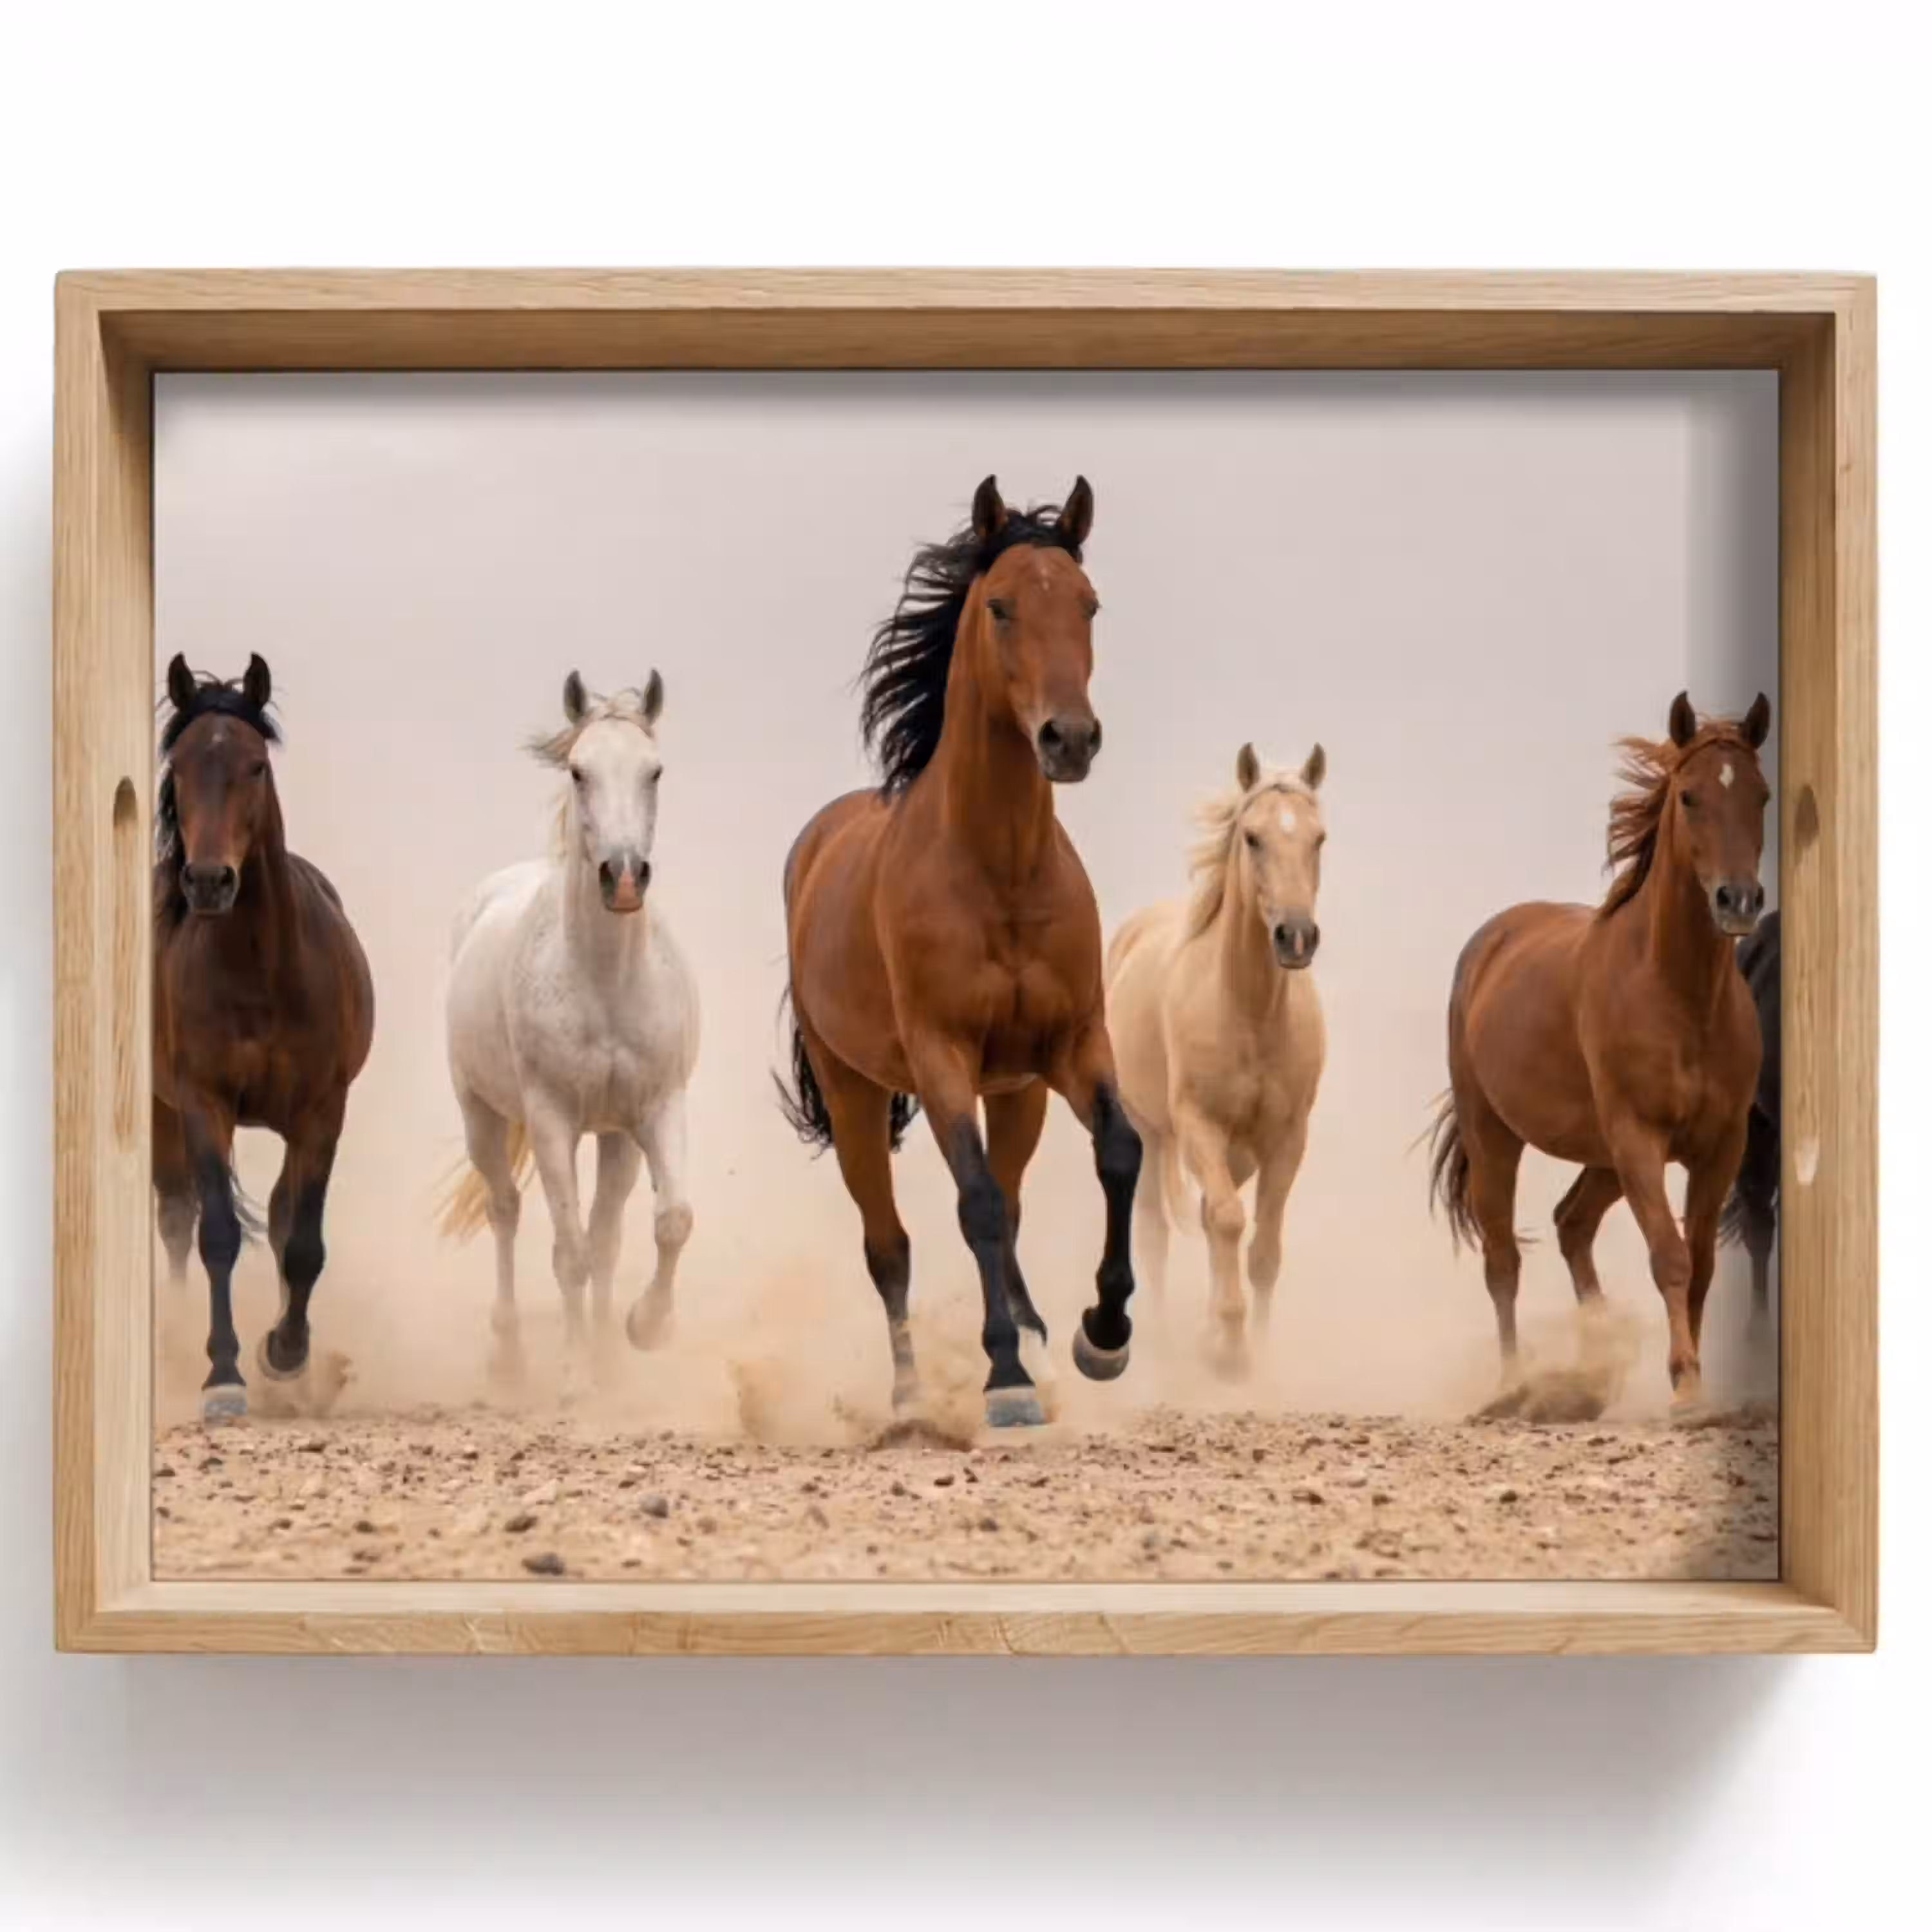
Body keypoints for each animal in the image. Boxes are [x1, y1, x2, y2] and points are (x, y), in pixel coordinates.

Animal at [152, 653, 375, 1421]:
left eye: (254, 765)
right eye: (180, 765)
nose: (209, 881)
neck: (260, 969)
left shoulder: (323, 1111)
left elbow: (301, 1240)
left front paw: (286, 1353)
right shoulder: (201, 1103)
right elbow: (216, 1232)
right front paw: (223, 1375)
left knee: (278, 1217)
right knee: (176, 1215)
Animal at [440, 671, 699, 1393]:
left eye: (654, 770)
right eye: (580, 772)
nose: (625, 877)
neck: (604, 983)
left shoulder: (652, 1113)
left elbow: (666, 1224)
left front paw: (640, 1332)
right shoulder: (553, 1122)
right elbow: (571, 1254)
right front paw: (577, 1372)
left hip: (611, 1138)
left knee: (606, 1235)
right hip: (483, 1116)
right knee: (505, 1210)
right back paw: (509, 1355)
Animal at [776, 474, 1142, 1429]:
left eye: (1090, 605)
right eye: (1002, 606)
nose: (1069, 740)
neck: (1001, 872)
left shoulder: (1071, 1045)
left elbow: (1119, 1153)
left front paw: (1102, 1336)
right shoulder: (940, 1056)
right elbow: (970, 1203)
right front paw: (1004, 1380)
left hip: (1017, 1093)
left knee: (1010, 1204)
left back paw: (1044, 1335)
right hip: (856, 1093)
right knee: (890, 1245)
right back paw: (911, 1397)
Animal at [1105, 741, 1329, 1375]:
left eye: (1318, 838)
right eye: (1252, 837)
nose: (1296, 937)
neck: (1248, 1011)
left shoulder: (1286, 1140)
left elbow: (1263, 1249)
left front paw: (1252, 1347)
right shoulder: (1198, 1126)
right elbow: (1227, 1221)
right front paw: (1229, 1350)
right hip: (1151, 1134)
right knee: (1156, 1234)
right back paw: (1160, 1339)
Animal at [1427, 690, 1772, 1406]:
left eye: (1762, 795)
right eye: (1690, 796)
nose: (1739, 901)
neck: (1678, 995)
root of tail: (1491, 941)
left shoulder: (1720, 1147)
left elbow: (1700, 1263)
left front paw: (1694, 1386)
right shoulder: (1638, 1136)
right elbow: (1670, 1256)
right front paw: (1686, 1387)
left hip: (1602, 1157)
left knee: (1571, 1223)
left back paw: (1591, 1367)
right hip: (1496, 1133)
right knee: (1503, 1259)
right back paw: (1514, 1385)